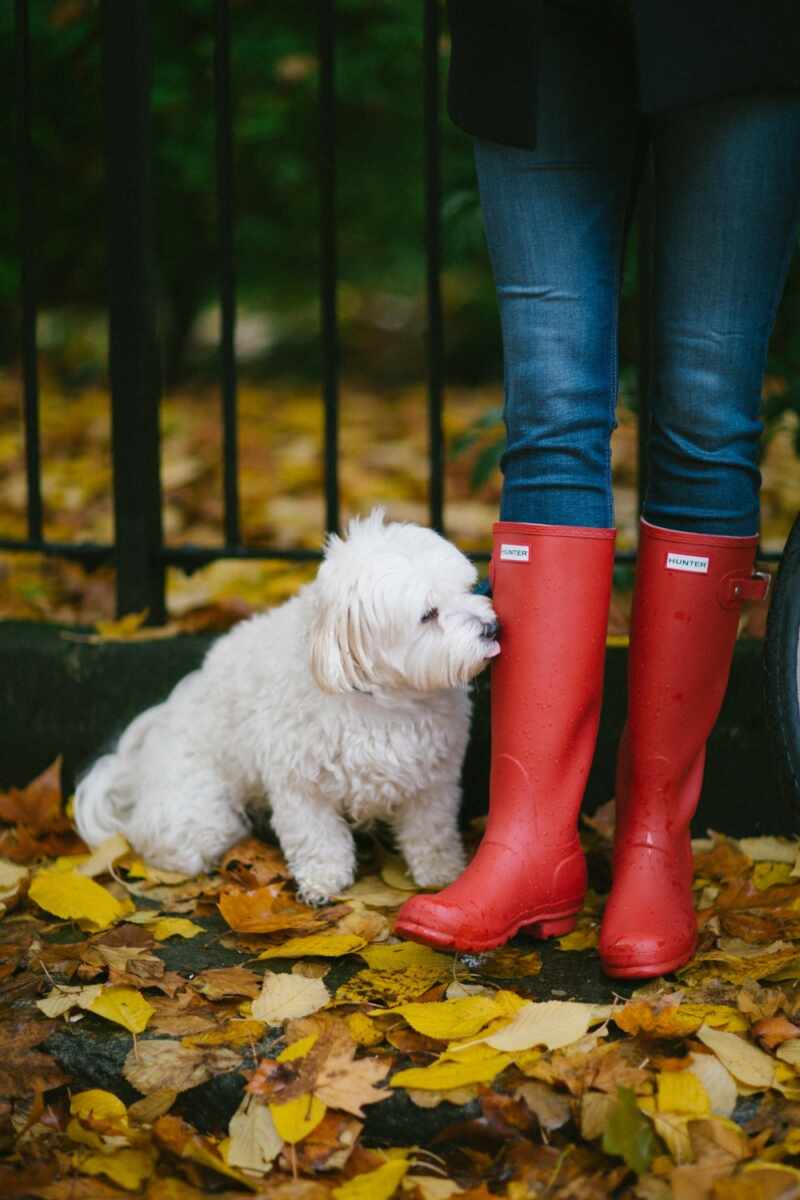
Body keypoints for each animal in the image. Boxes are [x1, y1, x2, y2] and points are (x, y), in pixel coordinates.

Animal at [74, 511, 501, 902]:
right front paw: (323, 881)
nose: (492, 627)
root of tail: (137, 768)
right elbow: (318, 837)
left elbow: (431, 830)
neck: (382, 700)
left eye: (469, 588)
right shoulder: (300, 784)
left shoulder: (434, 780)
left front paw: (443, 873)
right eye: (428, 615)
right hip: (197, 815)